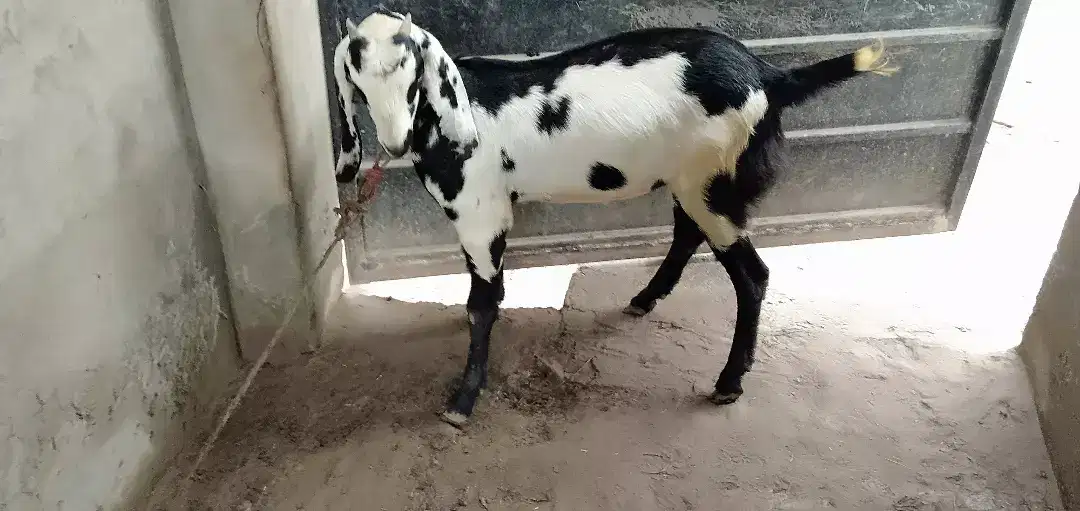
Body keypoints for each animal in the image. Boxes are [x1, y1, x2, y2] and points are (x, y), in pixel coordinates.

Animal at [333, 9, 897, 426]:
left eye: (412, 70)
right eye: (356, 71)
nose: (393, 141)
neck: (459, 117)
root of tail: (769, 75)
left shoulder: (481, 213)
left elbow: (483, 304)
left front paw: (462, 402)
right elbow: (480, 296)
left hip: (711, 180)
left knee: (750, 275)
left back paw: (728, 383)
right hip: (690, 178)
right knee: (687, 234)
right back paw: (644, 299)